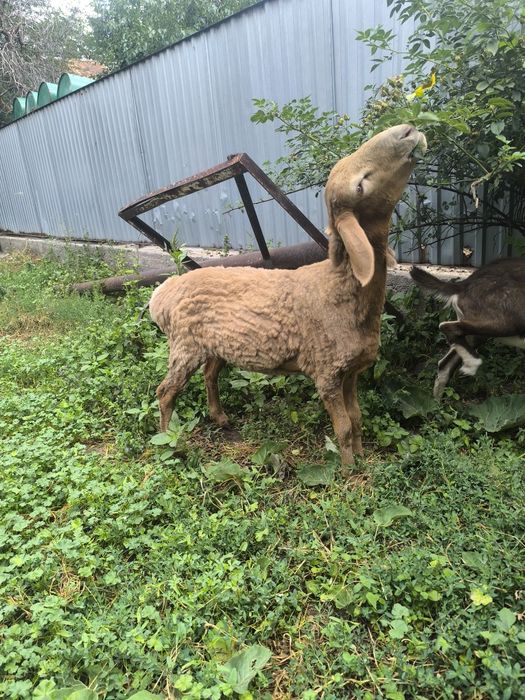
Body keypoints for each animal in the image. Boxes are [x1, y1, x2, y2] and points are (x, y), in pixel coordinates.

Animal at [149, 124, 427, 467]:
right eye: (361, 186)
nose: (408, 131)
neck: (337, 287)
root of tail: (164, 293)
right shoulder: (327, 371)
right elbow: (344, 426)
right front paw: (349, 472)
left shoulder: (351, 371)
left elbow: (357, 418)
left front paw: (362, 459)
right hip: (184, 345)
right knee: (166, 391)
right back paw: (169, 444)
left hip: (214, 345)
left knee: (209, 375)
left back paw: (220, 418)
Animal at [410, 258, 525, 399]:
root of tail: (465, 284)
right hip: (508, 320)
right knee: (447, 327)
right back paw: (472, 364)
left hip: (477, 332)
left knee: (444, 364)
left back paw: (435, 403)